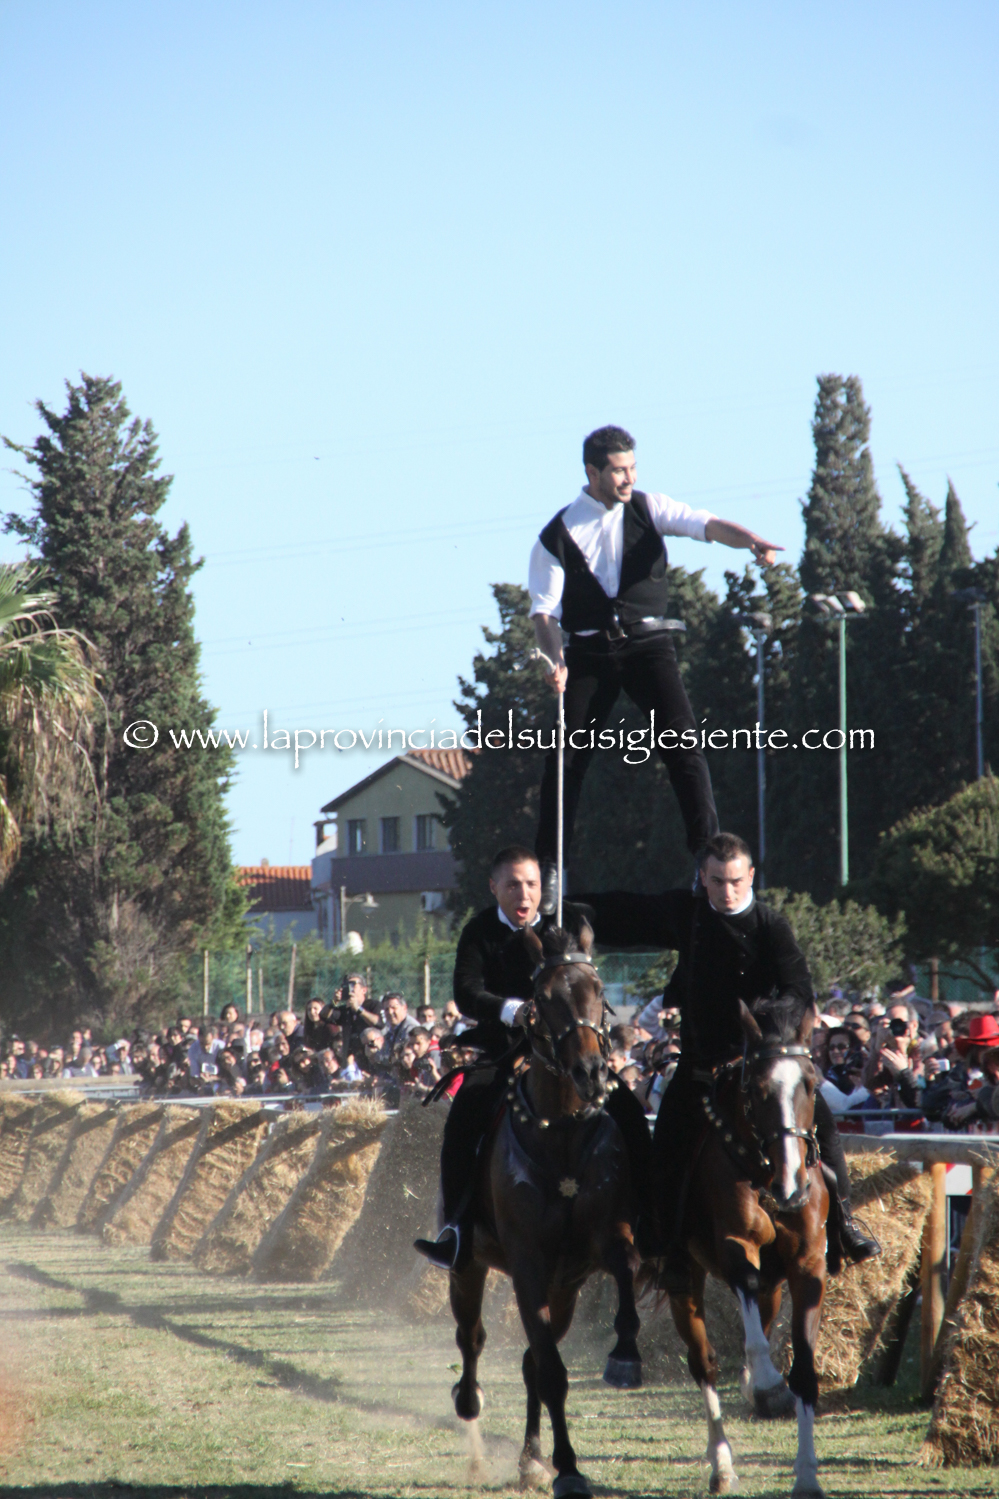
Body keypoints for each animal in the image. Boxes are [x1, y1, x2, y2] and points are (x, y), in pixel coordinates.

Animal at [446, 922, 641, 1498]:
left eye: (598, 990)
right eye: (544, 998)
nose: (592, 1072)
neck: (563, 1135)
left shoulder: (600, 1242)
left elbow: (626, 1266)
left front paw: (625, 1355)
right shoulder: (528, 1264)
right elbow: (553, 1373)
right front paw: (569, 1468)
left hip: (565, 1289)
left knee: (532, 1358)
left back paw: (532, 1458)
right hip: (470, 1265)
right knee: (473, 1337)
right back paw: (471, 1402)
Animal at [663, 994, 829, 1498]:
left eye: (811, 1084)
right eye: (755, 1090)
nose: (791, 1187)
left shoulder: (808, 1266)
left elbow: (804, 1371)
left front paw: (807, 1473)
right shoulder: (737, 1248)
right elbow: (753, 1341)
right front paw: (768, 1381)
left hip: (774, 1283)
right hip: (686, 1280)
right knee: (705, 1363)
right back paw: (721, 1464)